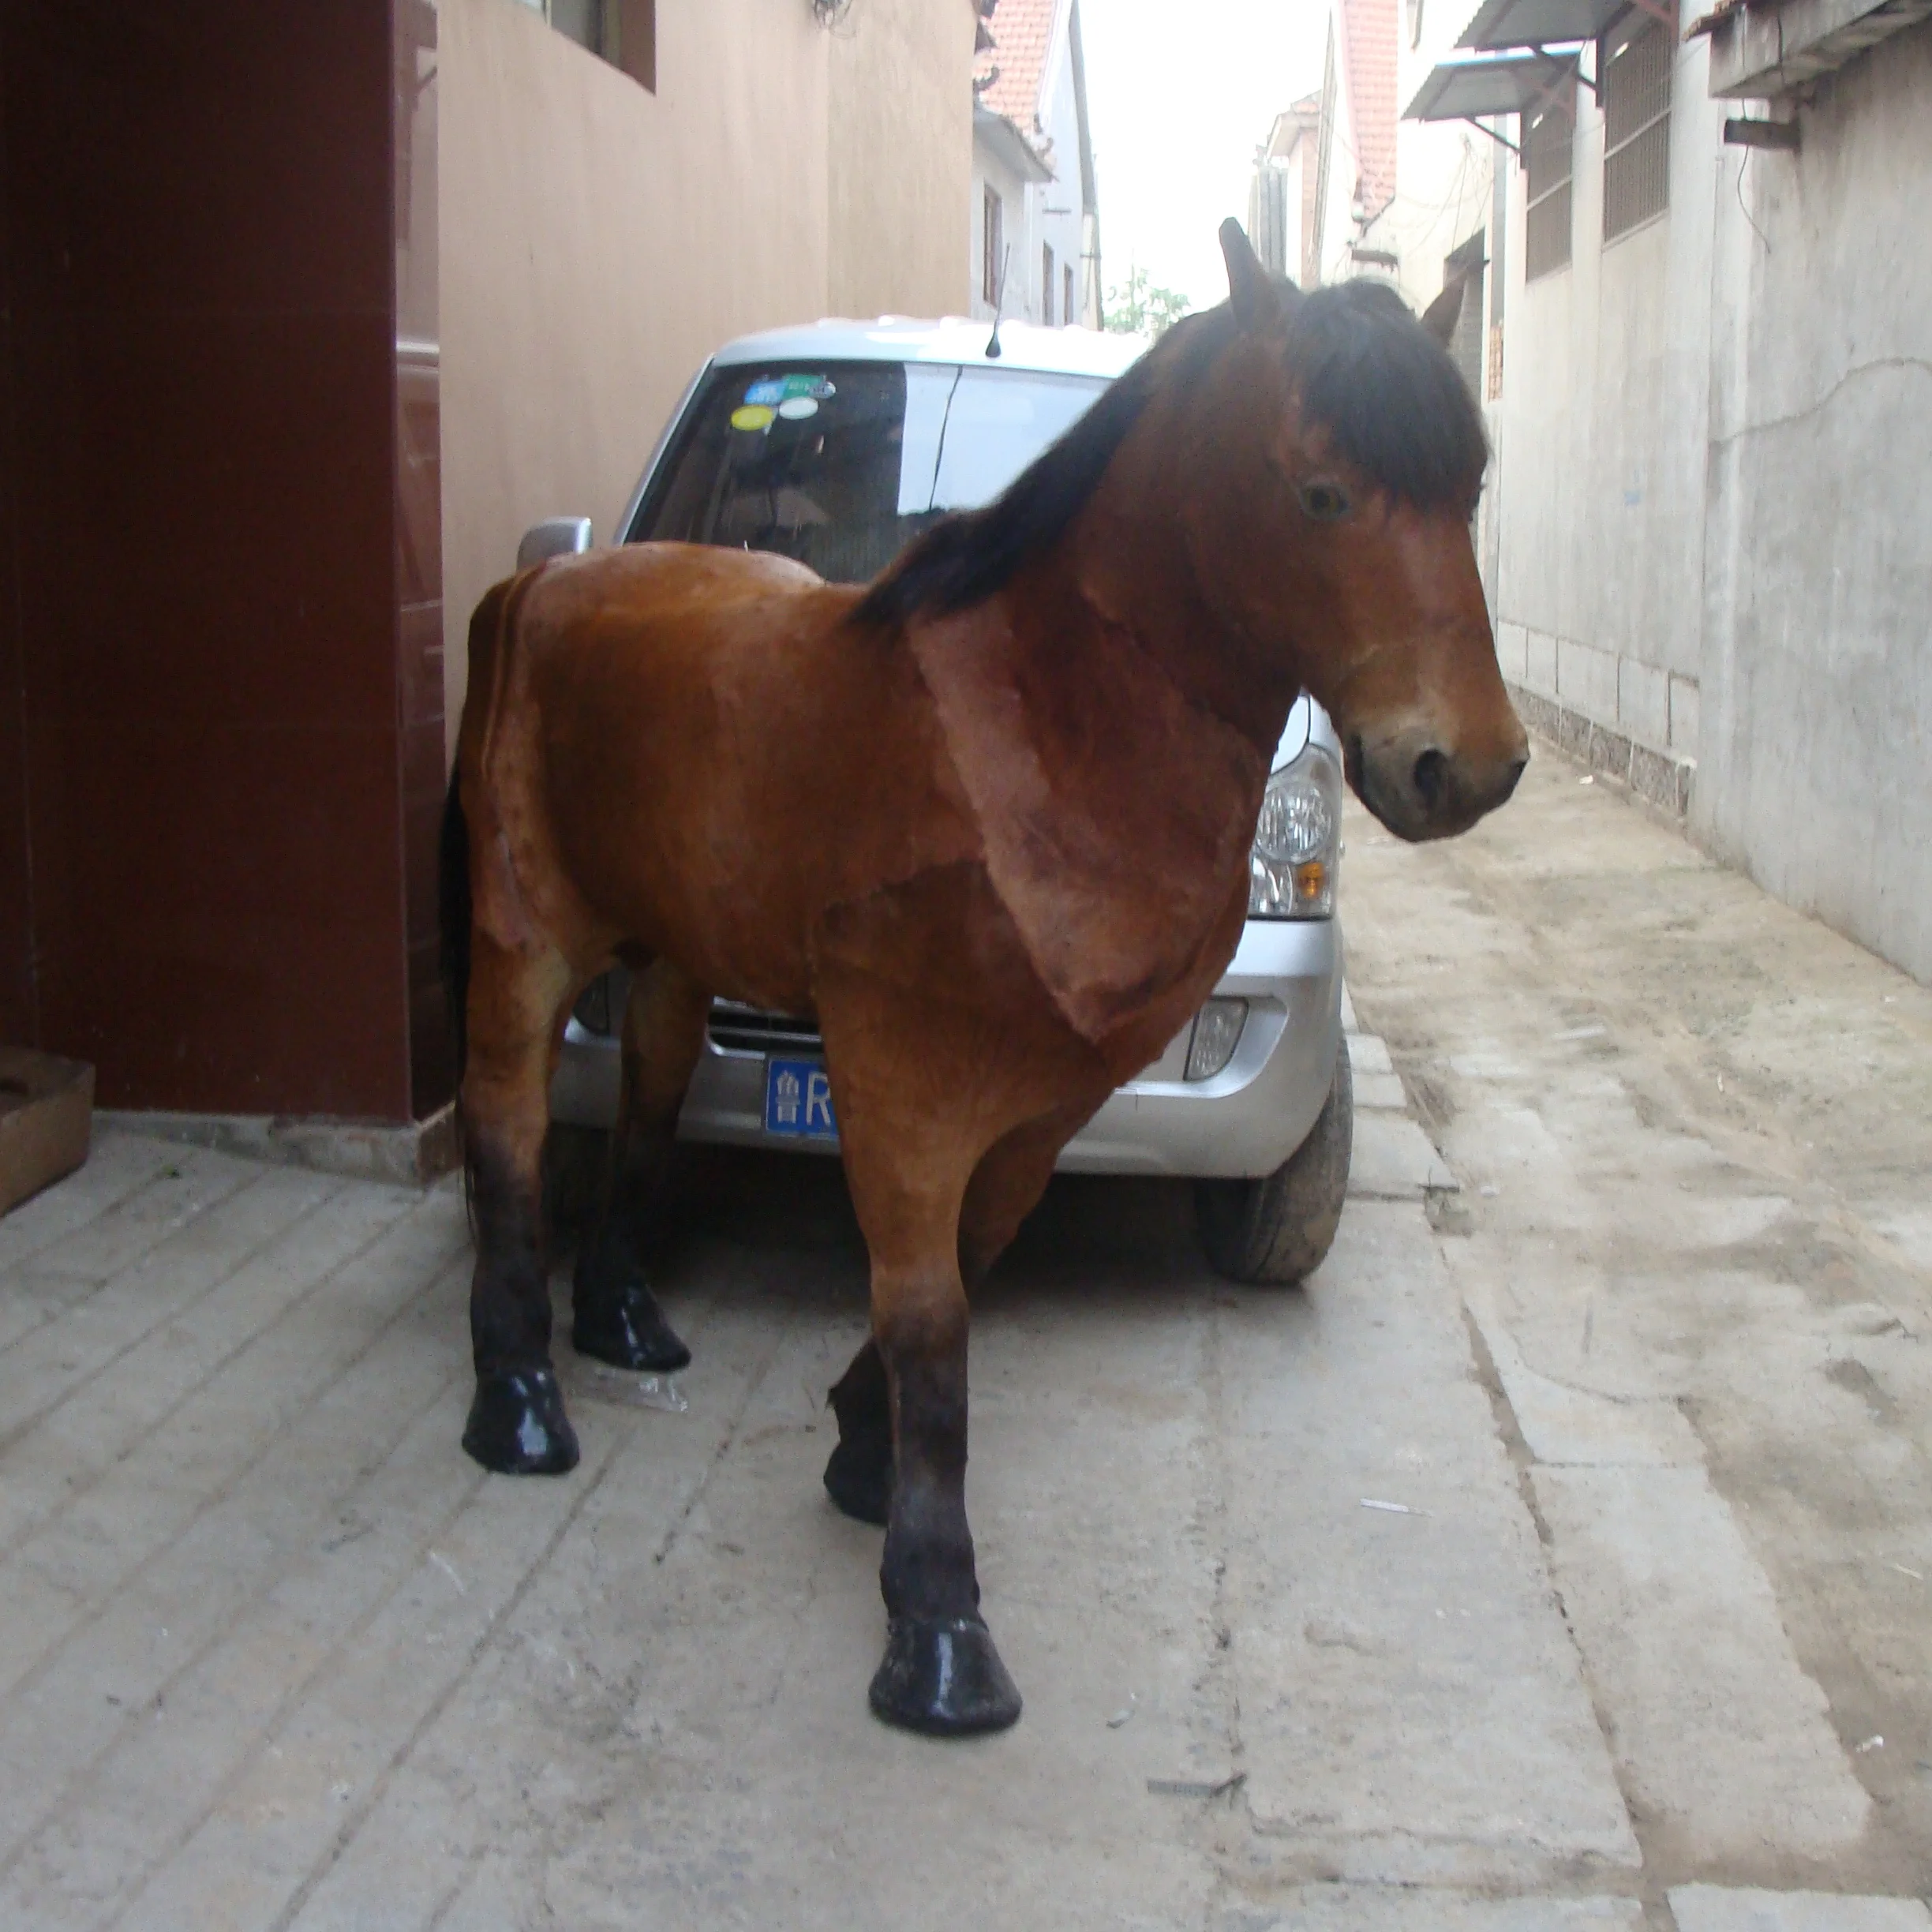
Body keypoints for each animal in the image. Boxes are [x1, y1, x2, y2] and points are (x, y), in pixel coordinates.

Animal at [438, 221, 1527, 1738]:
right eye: (1322, 491)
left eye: (1466, 487)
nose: (1463, 766)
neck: (1028, 730)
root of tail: (546, 582)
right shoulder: (898, 1074)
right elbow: (928, 1314)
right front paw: (937, 1625)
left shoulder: (1052, 1092)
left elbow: (974, 1260)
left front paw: (857, 1452)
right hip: (527, 939)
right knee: (509, 1128)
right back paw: (523, 1403)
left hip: (664, 959)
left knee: (648, 1110)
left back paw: (624, 1323)